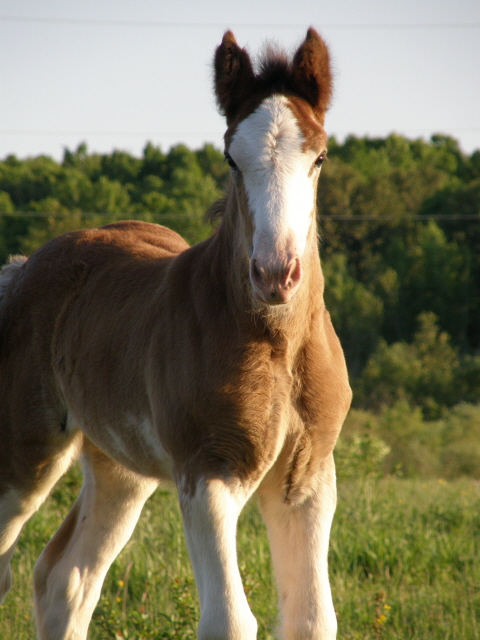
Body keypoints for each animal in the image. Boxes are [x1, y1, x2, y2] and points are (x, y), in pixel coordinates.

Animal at [0, 28, 352, 640]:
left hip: (119, 467)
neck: (278, 347)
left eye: (320, 156)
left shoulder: (307, 479)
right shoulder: (207, 472)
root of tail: (24, 267)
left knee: (65, 579)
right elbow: (229, 619)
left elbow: (311, 618)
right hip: (25, 452)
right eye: (232, 158)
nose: (275, 274)